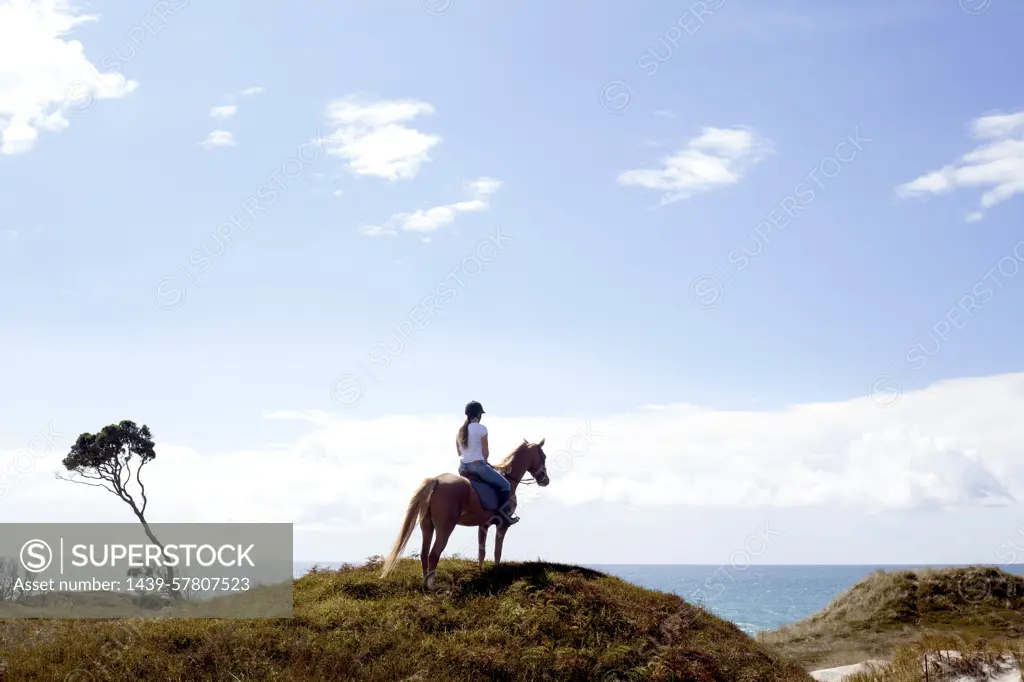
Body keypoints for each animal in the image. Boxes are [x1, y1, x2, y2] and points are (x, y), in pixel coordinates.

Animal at [378, 438, 552, 585]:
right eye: (543, 456)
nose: (545, 480)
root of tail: (436, 480)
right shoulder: (502, 525)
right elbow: (497, 551)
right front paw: (497, 572)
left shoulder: (483, 525)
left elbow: (481, 552)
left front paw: (482, 573)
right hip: (445, 528)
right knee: (434, 554)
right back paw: (432, 585)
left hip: (427, 526)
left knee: (424, 554)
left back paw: (424, 583)